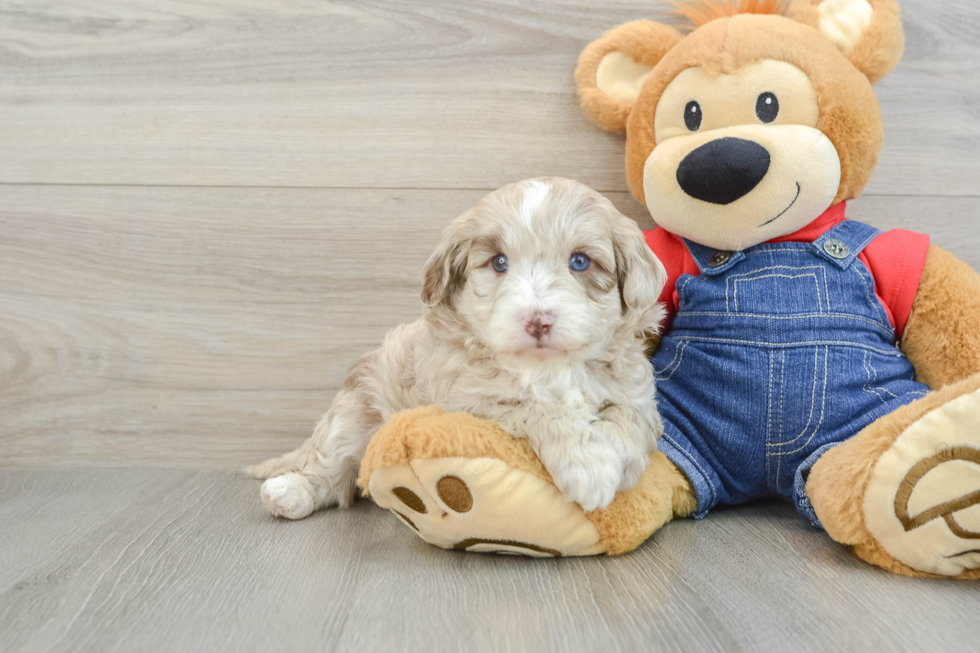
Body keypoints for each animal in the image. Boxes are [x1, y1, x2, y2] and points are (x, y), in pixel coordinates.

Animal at [249, 177, 668, 516]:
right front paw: (589, 465)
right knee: (329, 466)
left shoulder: (638, 394)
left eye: (580, 262)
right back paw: (288, 493)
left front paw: (618, 462)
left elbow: (629, 419)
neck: (548, 367)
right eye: (498, 263)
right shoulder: (468, 401)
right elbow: (533, 406)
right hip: (354, 411)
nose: (537, 320)